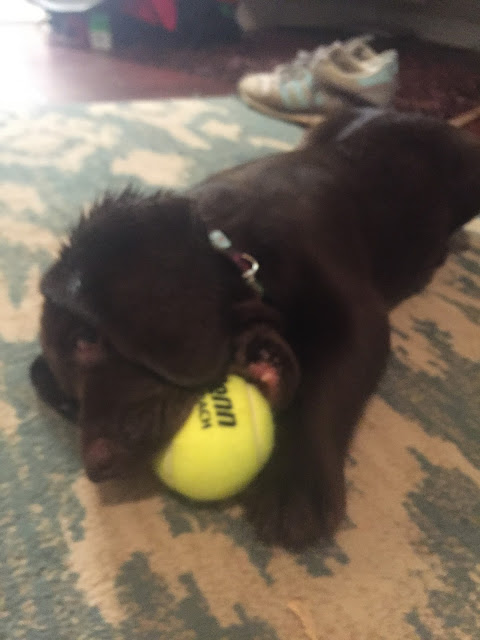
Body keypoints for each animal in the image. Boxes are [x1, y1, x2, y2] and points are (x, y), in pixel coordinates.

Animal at [31, 107, 480, 549]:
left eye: (86, 339)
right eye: (68, 404)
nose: (97, 468)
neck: (234, 243)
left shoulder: (360, 317)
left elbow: (323, 389)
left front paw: (294, 485)